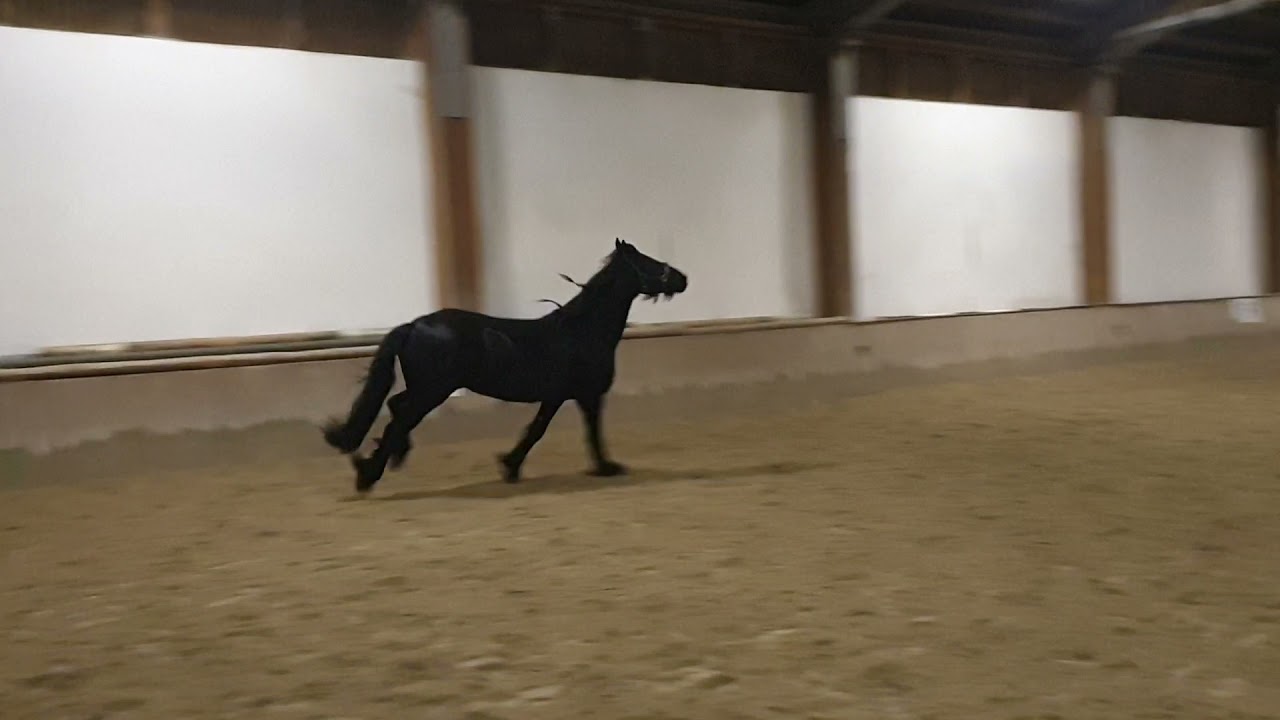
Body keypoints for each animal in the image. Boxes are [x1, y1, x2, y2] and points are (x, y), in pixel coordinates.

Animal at [321, 237, 689, 494]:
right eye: (646, 262)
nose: (682, 278)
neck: (582, 331)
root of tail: (413, 325)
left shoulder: (557, 396)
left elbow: (537, 430)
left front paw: (510, 465)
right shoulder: (585, 396)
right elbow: (582, 431)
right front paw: (607, 467)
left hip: (426, 389)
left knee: (397, 408)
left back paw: (391, 459)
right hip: (432, 390)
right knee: (399, 417)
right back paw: (369, 475)